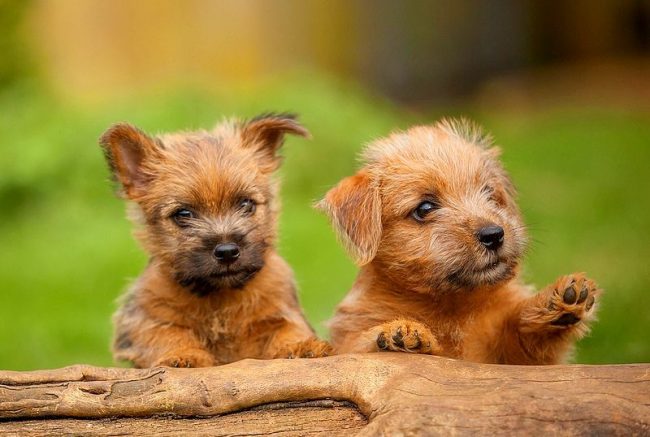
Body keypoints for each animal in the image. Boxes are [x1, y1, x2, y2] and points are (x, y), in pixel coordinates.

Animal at [100, 113, 330, 368]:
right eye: (183, 214)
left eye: (246, 204)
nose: (227, 251)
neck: (219, 297)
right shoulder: (142, 318)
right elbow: (166, 333)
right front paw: (184, 356)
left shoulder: (280, 308)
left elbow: (287, 328)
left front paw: (300, 347)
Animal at [316, 119, 600, 364]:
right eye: (425, 208)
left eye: (489, 193)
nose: (494, 234)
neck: (452, 307)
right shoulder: (353, 334)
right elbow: (357, 346)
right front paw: (397, 334)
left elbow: (521, 333)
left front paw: (557, 301)